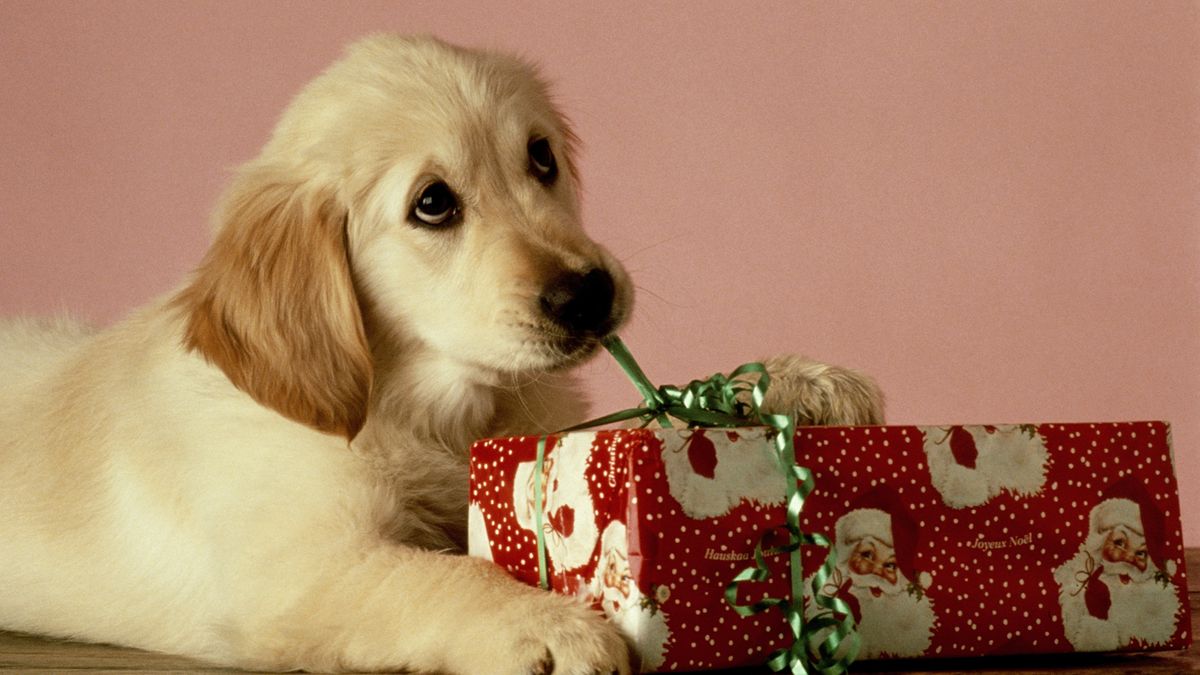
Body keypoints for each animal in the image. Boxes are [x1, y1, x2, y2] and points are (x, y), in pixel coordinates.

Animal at [0, 36, 883, 672]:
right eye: (433, 203)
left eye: (541, 157)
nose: (589, 294)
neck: (424, 406)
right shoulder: (303, 570)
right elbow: (436, 574)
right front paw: (550, 622)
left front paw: (795, 382)